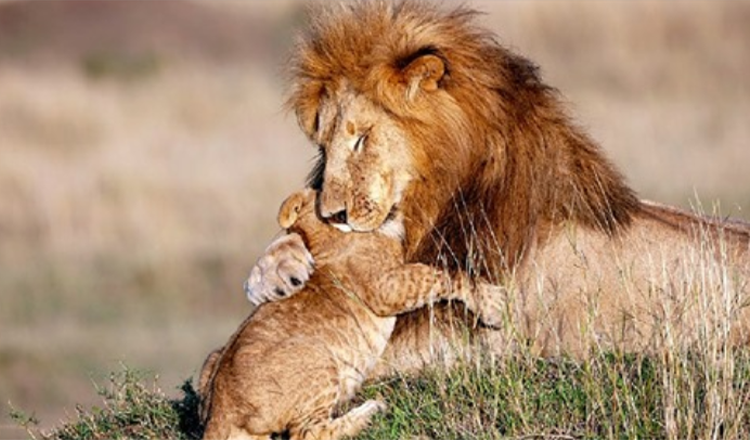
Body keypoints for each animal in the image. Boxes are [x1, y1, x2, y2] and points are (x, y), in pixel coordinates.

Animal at [247, 0, 750, 372]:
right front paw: (275, 271)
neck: (438, 200)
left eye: (361, 138)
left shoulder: (476, 341)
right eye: (323, 145)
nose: (333, 213)